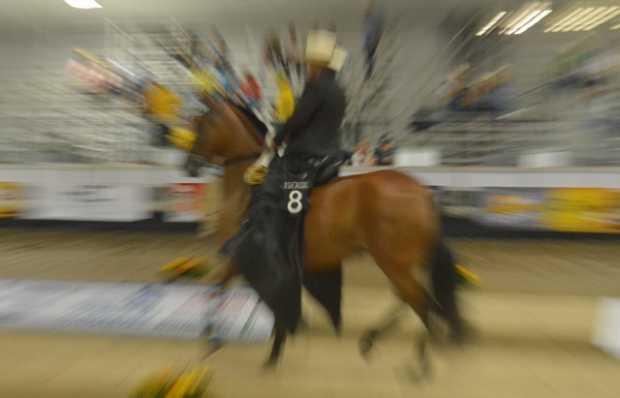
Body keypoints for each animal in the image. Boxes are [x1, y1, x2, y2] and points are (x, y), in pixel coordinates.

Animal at [186, 95, 462, 366]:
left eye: (203, 124)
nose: (190, 164)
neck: (250, 191)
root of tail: (422, 193)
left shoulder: (244, 257)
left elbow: (219, 286)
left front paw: (212, 339)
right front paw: (280, 341)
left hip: (392, 261)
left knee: (420, 301)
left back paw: (418, 359)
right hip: (398, 261)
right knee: (411, 298)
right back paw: (374, 341)